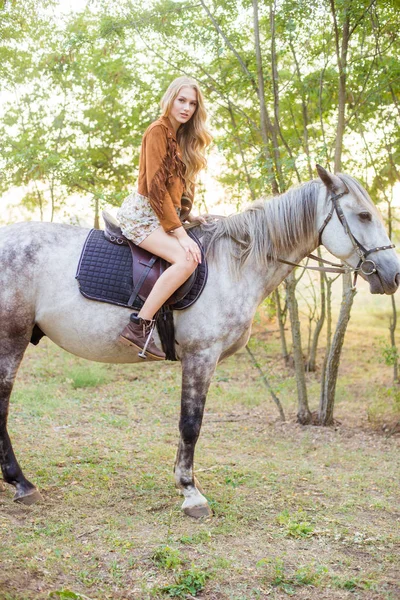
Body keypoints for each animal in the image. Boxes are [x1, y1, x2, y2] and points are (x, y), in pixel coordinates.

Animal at [0, 166, 400, 516]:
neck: (234, 264)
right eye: (364, 215)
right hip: (10, 340)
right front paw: (191, 493)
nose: (393, 275)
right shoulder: (201, 356)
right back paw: (21, 482)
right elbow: (191, 424)